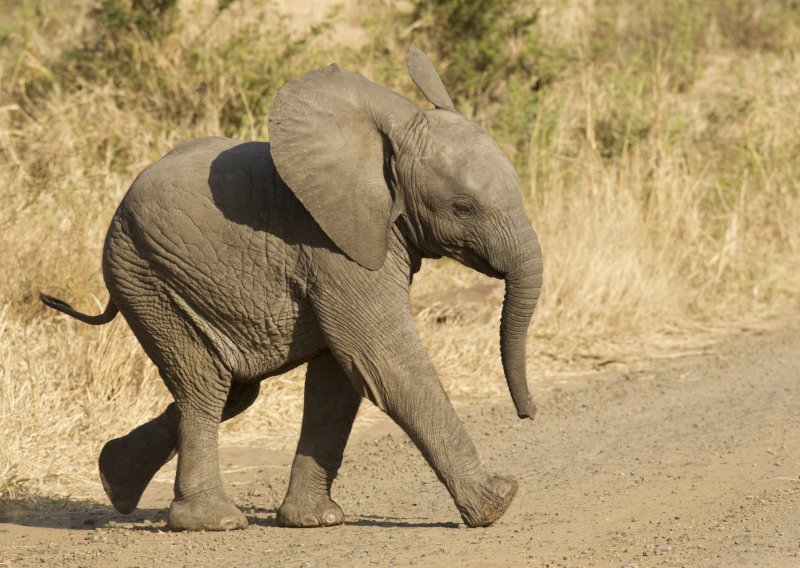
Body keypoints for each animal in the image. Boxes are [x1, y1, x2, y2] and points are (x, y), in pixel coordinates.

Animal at [43, 46, 544, 532]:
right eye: (463, 208)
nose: (529, 414)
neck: (386, 143)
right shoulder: (332, 246)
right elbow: (381, 358)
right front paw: (497, 504)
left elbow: (339, 377)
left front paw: (314, 521)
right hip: (147, 276)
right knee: (206, 387)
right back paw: (212, 522)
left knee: (233, 391)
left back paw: (115, 479)